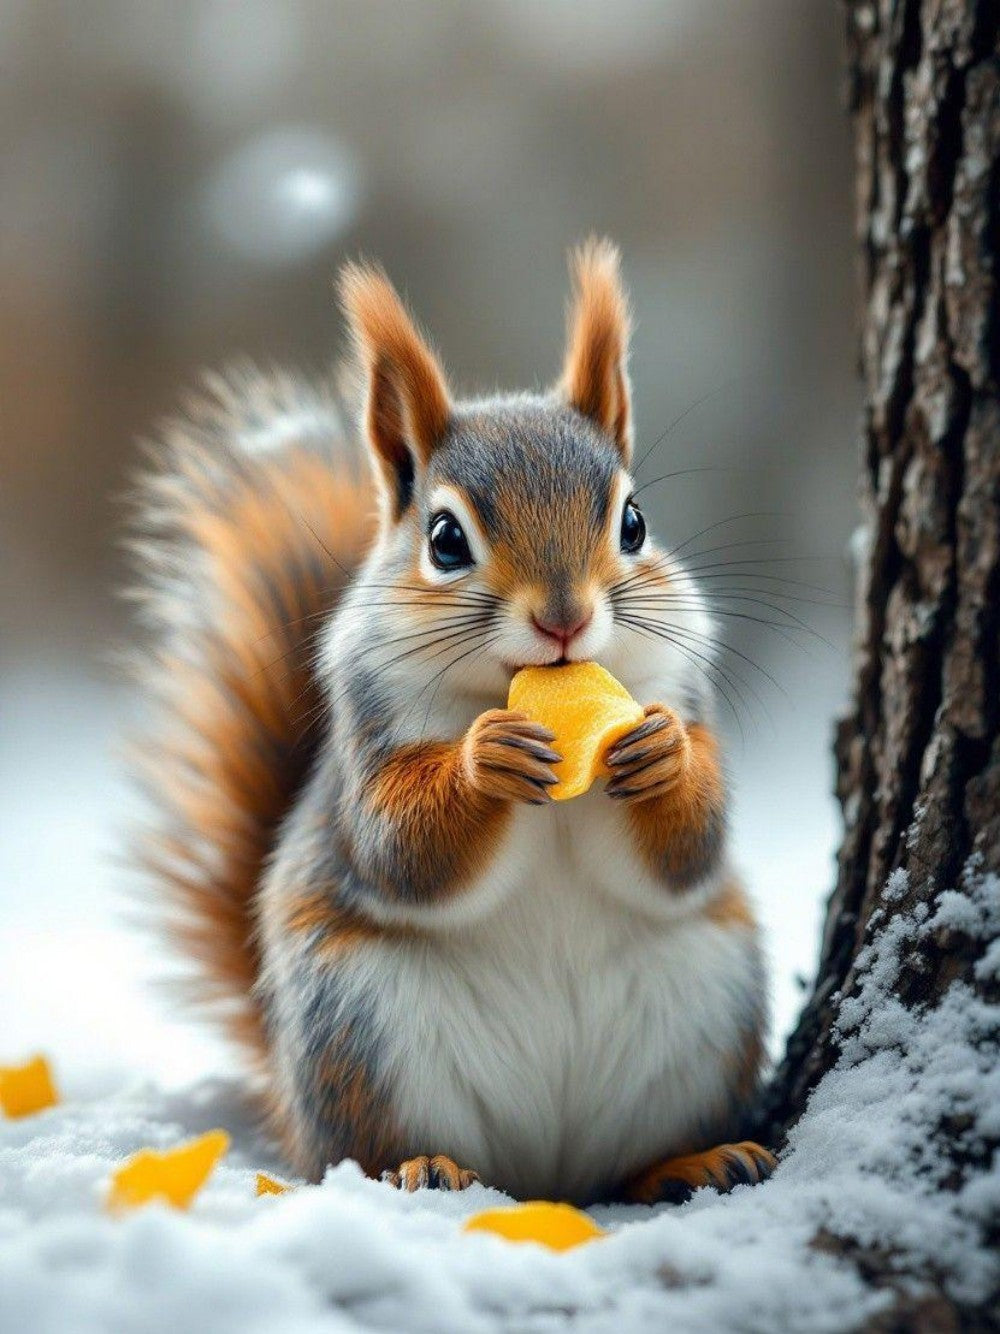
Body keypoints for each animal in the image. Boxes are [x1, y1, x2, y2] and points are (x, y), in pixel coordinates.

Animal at [130, 239, 774, 1204]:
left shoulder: (681, 685)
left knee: (625, 1166)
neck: (505, 690)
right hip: (360, 1027)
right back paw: (423, 1166)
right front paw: (483, 762)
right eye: (444, 540)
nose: (564, 619)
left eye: (634, 522)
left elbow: (691, 849)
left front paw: (663, 754)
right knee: (364, 1150)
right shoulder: (365, 741)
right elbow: (400, 848)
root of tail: (543, 1177)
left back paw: (692, 1160)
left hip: (708, 1004)